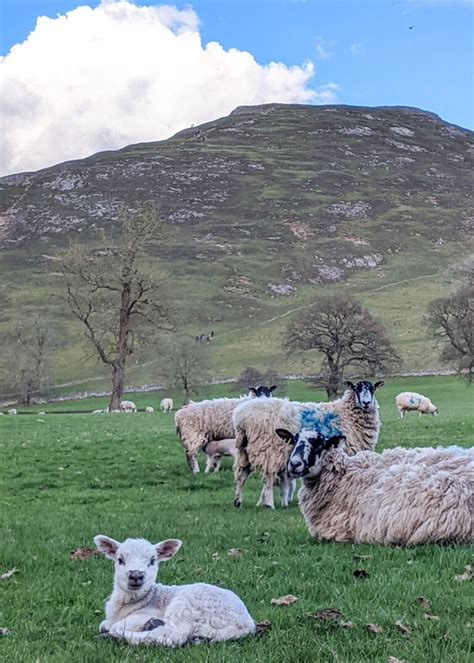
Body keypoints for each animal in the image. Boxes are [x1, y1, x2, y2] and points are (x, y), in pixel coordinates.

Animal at [93, 536, 256, 648]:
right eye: (120, 559)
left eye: (153, 561)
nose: (136, 575)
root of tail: (245, 624)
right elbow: (103, 624)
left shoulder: (149, 612)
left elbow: (114, 626)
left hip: (186, 604)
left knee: (173, 635)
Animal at [233, 382, 386, 510]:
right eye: (356, 389)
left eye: (372, 389)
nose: (366, 403)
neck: (346, 414)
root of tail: (241, 417)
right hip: (269, 451)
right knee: (268, 478)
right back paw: (269, 504)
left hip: (245, 450)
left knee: (241, 476)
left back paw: (238, 502)